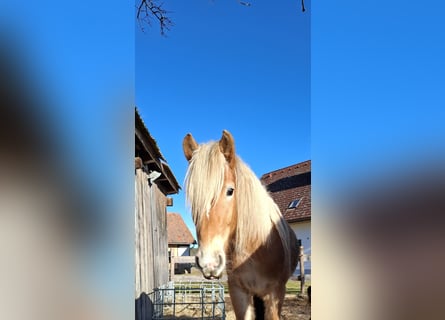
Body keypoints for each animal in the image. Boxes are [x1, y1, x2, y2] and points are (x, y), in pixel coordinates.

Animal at [182, 129, 296, 318]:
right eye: (193, 198)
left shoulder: (275, 295)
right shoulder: (239, 293)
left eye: (230, 191)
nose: (209, 263)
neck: (256, 248)